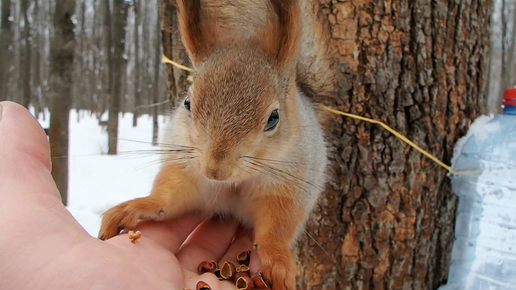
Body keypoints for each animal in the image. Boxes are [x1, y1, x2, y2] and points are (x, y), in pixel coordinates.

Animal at [99, 1, 334, 288]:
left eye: (274, 118)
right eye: (187, 103)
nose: (214, 170)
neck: (234, 183)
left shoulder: (290, 185)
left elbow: (277, 226)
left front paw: (277, 261)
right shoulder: (185, 168)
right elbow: (168, 197)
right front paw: (136, 206)